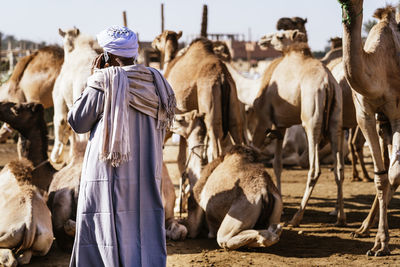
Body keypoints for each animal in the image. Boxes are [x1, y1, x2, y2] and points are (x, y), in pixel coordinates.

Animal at [152, 30, 244, 174]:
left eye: (158, 38)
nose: (152, 43)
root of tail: (222, 77)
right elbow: (182, 158)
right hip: (234, 105)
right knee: (237, 133)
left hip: (210, 108)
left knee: (215, 147)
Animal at [255, 30, 346, 228]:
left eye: (279, 36)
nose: (263, 39)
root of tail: (328, 84)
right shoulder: (281, 125)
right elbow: (277, 164)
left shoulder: (266, 120)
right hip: (336, 122)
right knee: (339, 169)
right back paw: (340, 217)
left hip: (311, 121)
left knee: (314, 169)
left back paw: (297, 217)